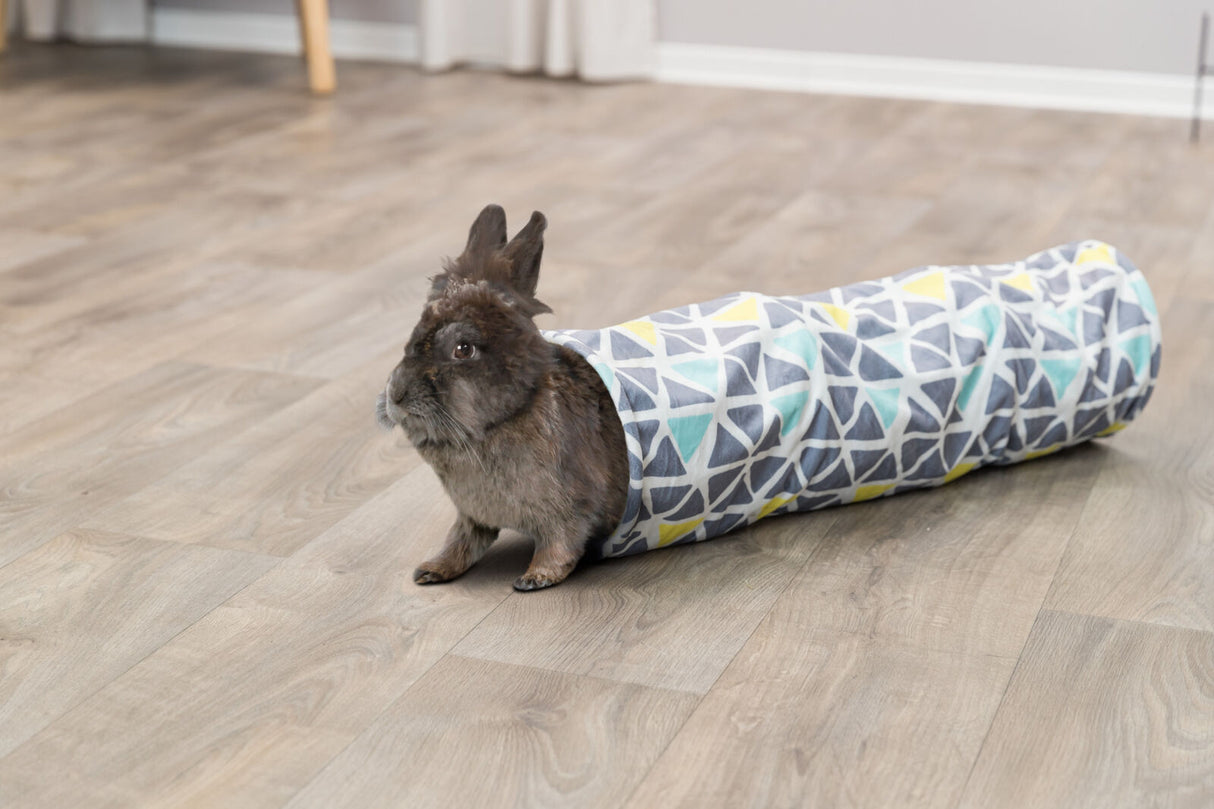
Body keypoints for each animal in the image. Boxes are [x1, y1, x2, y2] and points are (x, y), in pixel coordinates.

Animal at [377, 204, 629, 591]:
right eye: (411, 338)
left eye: (463, 349)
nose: (397, 394)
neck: (508, 416)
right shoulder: (470, 516)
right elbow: (461, 542)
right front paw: (432, 570)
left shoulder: (573, 510)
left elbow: (561, 544)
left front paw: (534, 578)